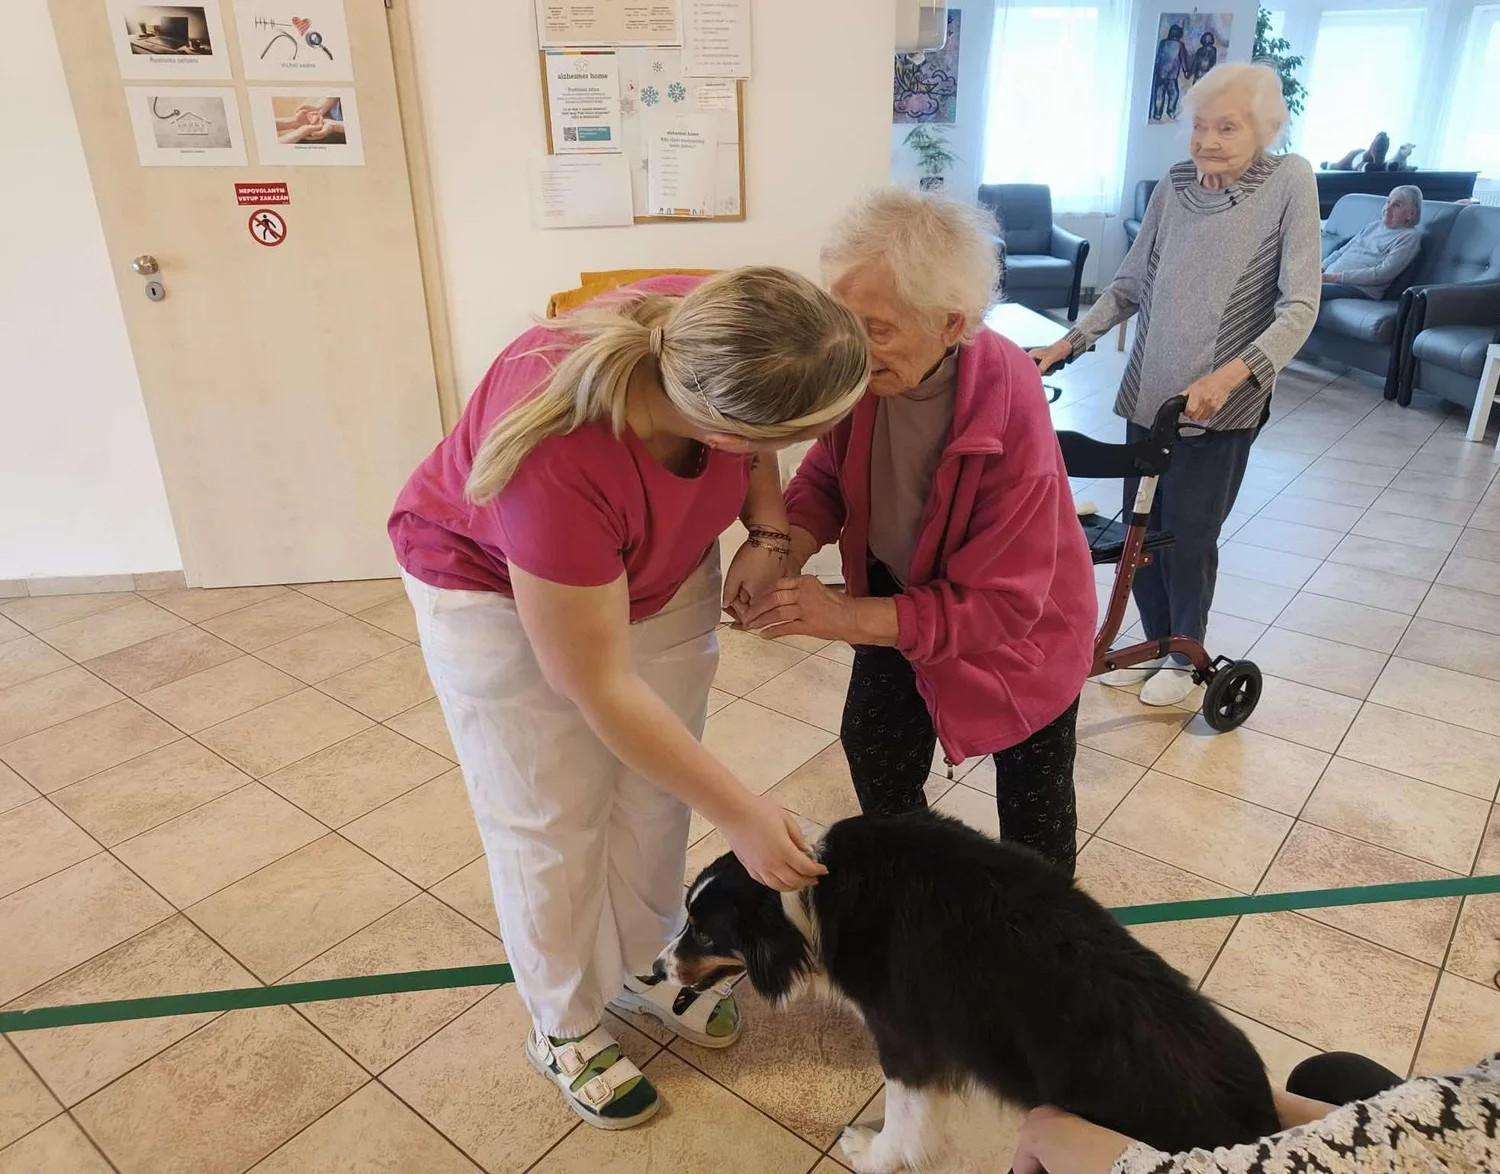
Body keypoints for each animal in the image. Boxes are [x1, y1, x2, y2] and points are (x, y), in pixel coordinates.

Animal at [658, 813, 1278, 1172]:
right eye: (687, 918)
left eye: (704, 934)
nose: (659, 968)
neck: (810, 895)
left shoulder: (903, 1035)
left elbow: (904, 1115)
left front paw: (872, 1153)